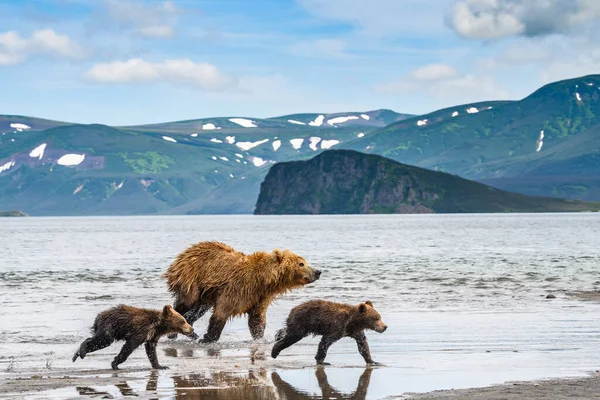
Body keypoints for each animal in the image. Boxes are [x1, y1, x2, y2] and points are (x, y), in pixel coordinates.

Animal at [162, 241, 322, 344]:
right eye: (301, 263)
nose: (318, 271)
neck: (263, 280)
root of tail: (183, 254)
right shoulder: (237, 289)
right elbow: (222, 312)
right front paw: (208, 338)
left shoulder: (260, 297)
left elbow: (256, 319)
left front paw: (262, 337)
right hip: (191, 281)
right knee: (185, 305)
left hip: (205, 294)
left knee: (197, 310)